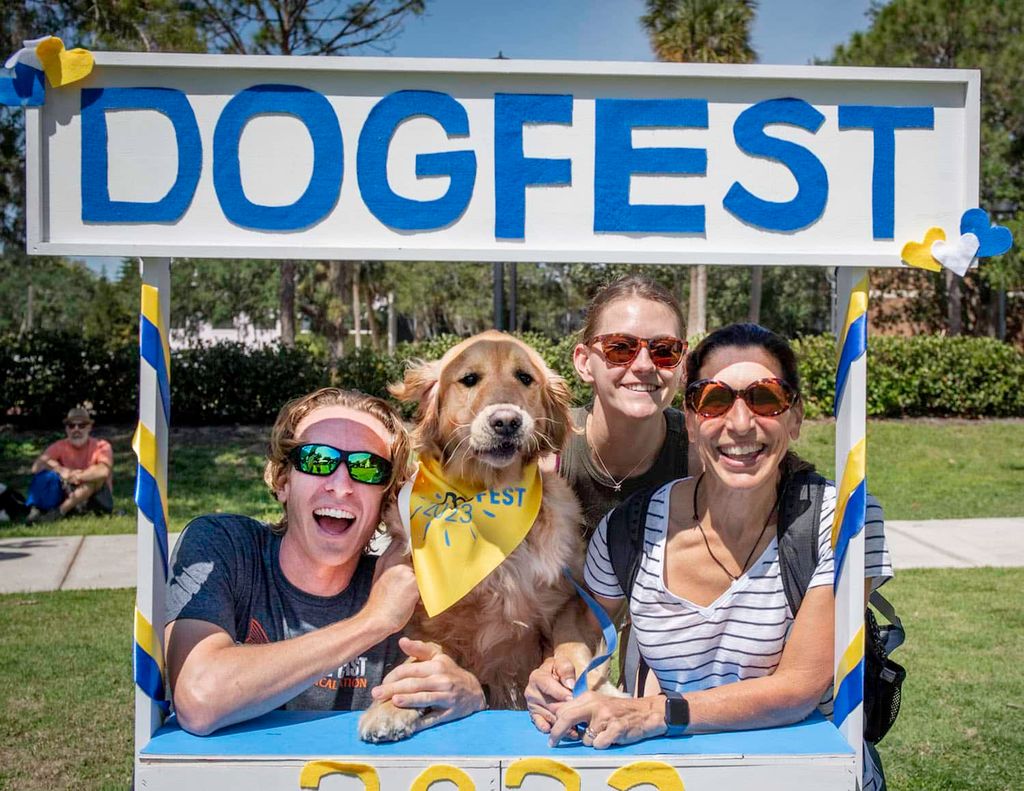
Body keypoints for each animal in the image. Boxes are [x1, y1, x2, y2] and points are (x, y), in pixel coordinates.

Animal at [360, 327, 598, 741]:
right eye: (469, 379)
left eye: (525, 378)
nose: (506, 421)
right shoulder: (427, 620)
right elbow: (415, 663)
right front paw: (388, 707)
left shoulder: (570, 595)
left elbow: (569, 647)